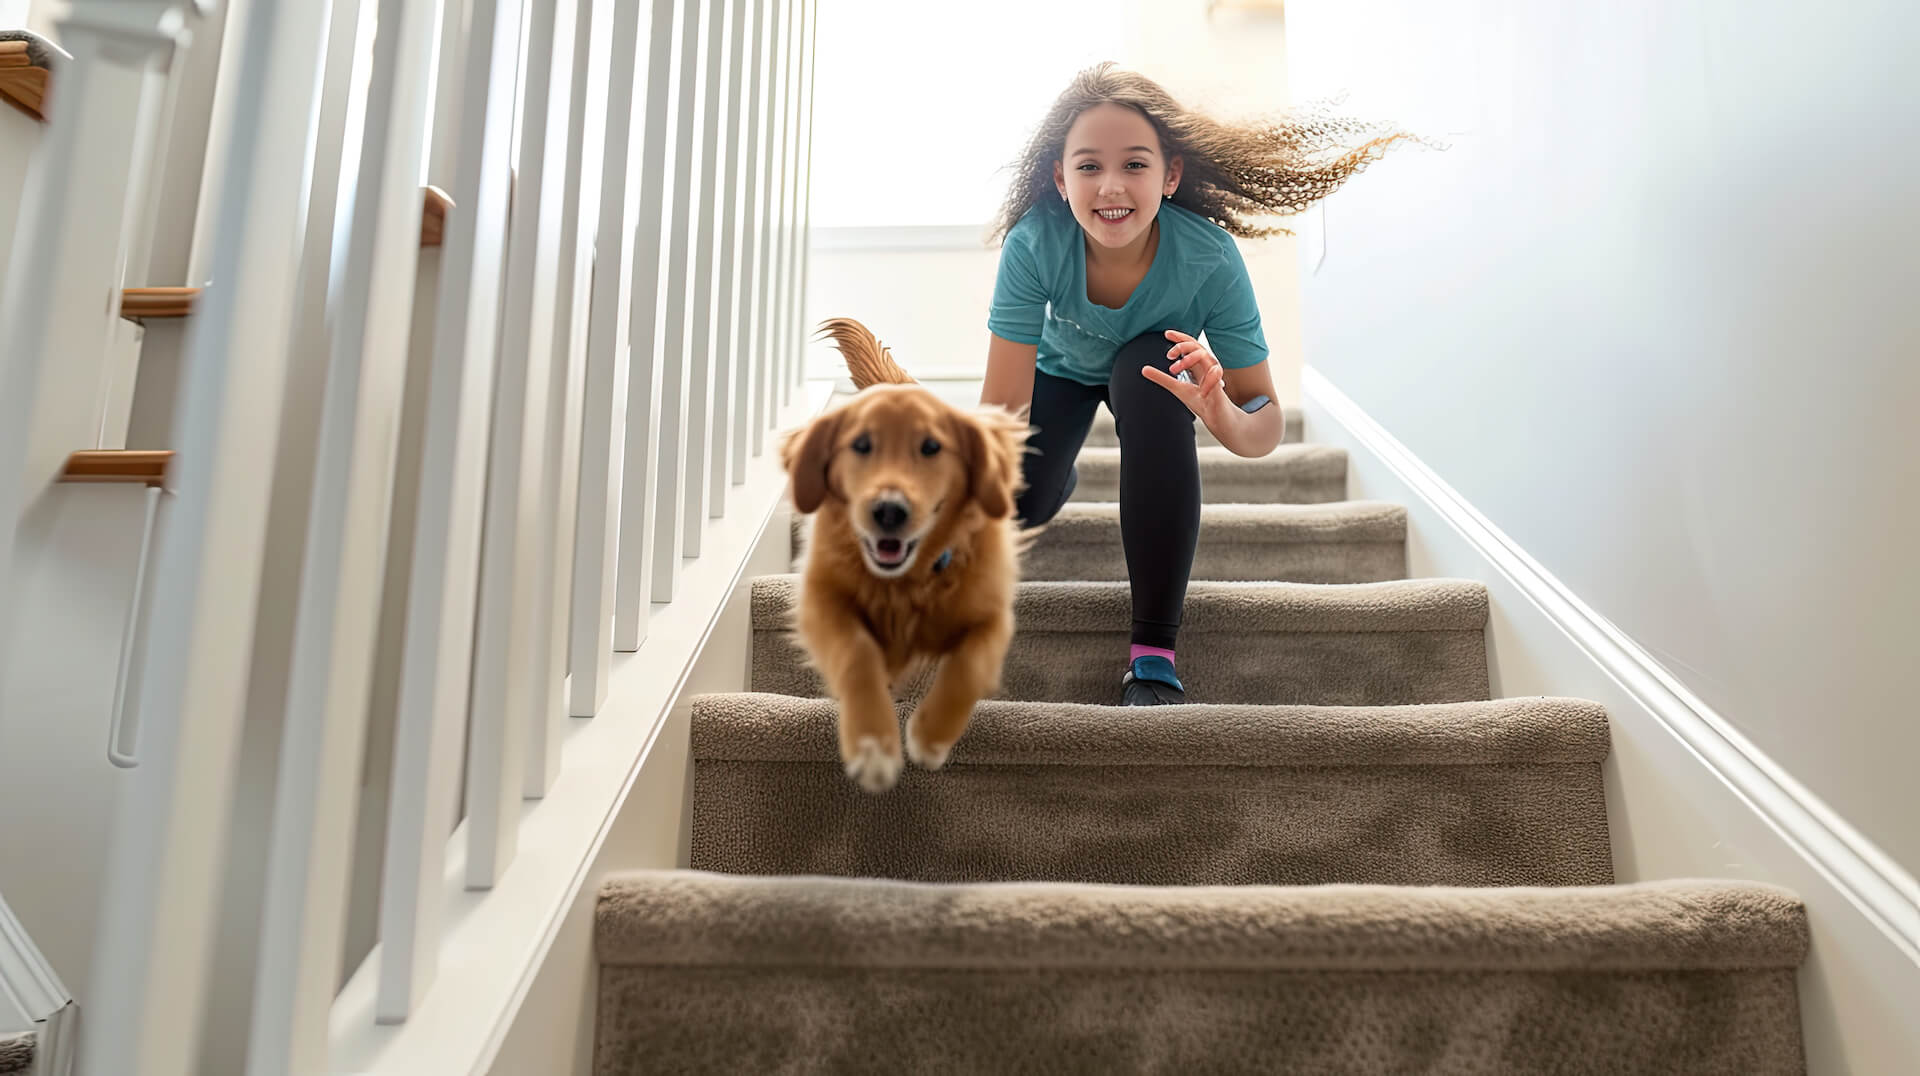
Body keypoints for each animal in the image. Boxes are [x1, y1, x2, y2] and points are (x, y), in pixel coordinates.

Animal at [775, 317, 1029, 791]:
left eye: (931, 447)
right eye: (860, 446)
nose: (888, 511)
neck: (908, 580)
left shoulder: (992, 615)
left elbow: (967, 668)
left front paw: (931, 737)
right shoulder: (821, 598)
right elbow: (857, 655)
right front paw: (872, 745)